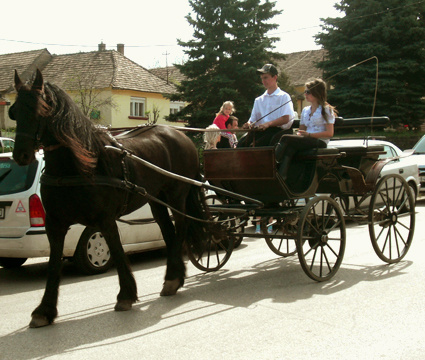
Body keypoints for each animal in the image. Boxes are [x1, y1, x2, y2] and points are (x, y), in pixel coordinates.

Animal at [9, 69, 209, 328]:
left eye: (40, 110)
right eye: (14, 112)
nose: (21, 155)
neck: (75, 167)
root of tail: (180, 135)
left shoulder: (104, 219)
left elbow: (117, 250)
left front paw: (125, 295)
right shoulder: (55, 223)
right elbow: (54, 263)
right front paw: (44, 310)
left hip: (176, 195)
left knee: (182, 227)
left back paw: (173, 278)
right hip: (157, 200)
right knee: (169, 231)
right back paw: (174, 277)